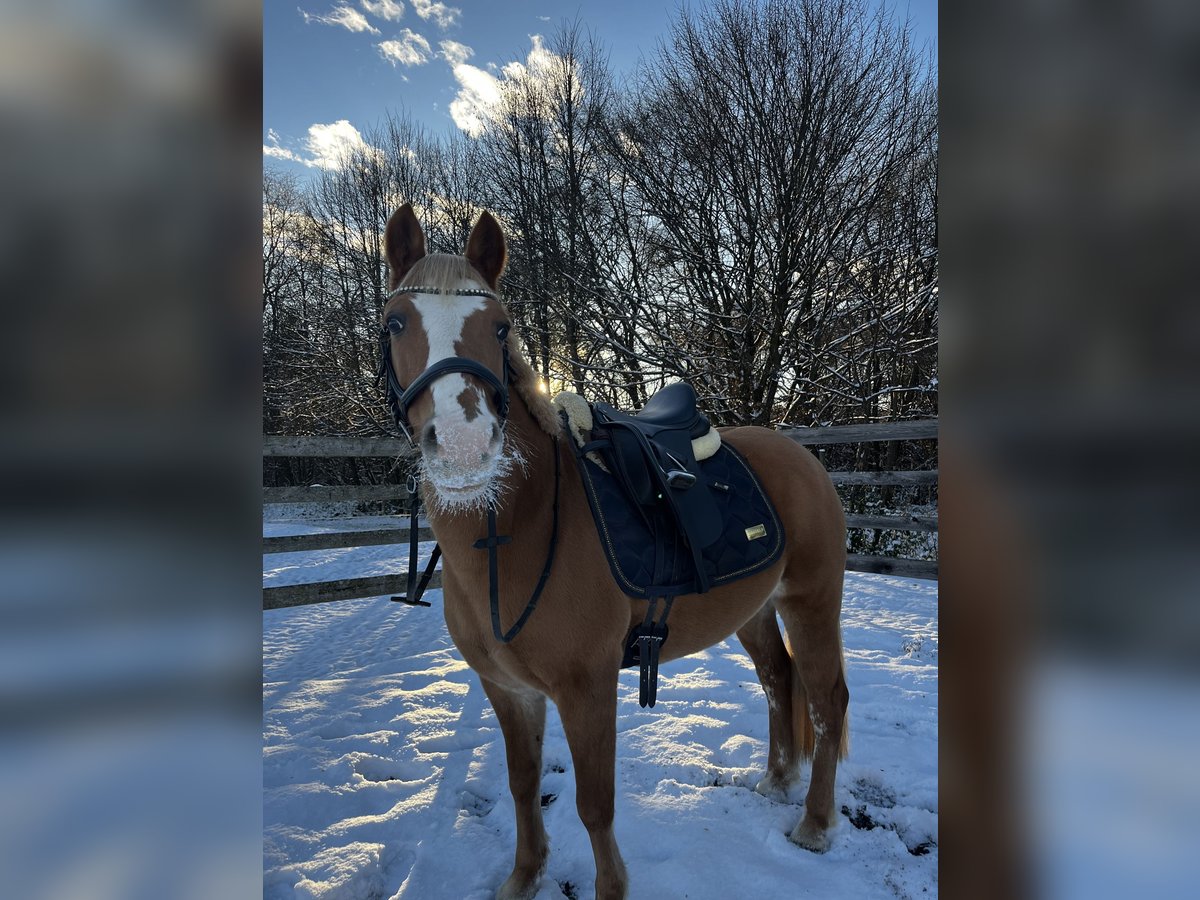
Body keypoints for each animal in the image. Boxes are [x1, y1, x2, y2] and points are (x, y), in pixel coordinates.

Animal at [379, 206, 849, 900]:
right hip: (755, 610)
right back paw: (777, 780)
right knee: (777, 679)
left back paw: (815, 825)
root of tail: (801, 455)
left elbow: (594, 805)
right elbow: (522, 784)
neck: (511, 532)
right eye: (396, 321)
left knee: (826, 698)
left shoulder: (587, 688)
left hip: (811, 601)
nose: (465, 448)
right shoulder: (507, 690)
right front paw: (524, 877)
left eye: (500, 327)